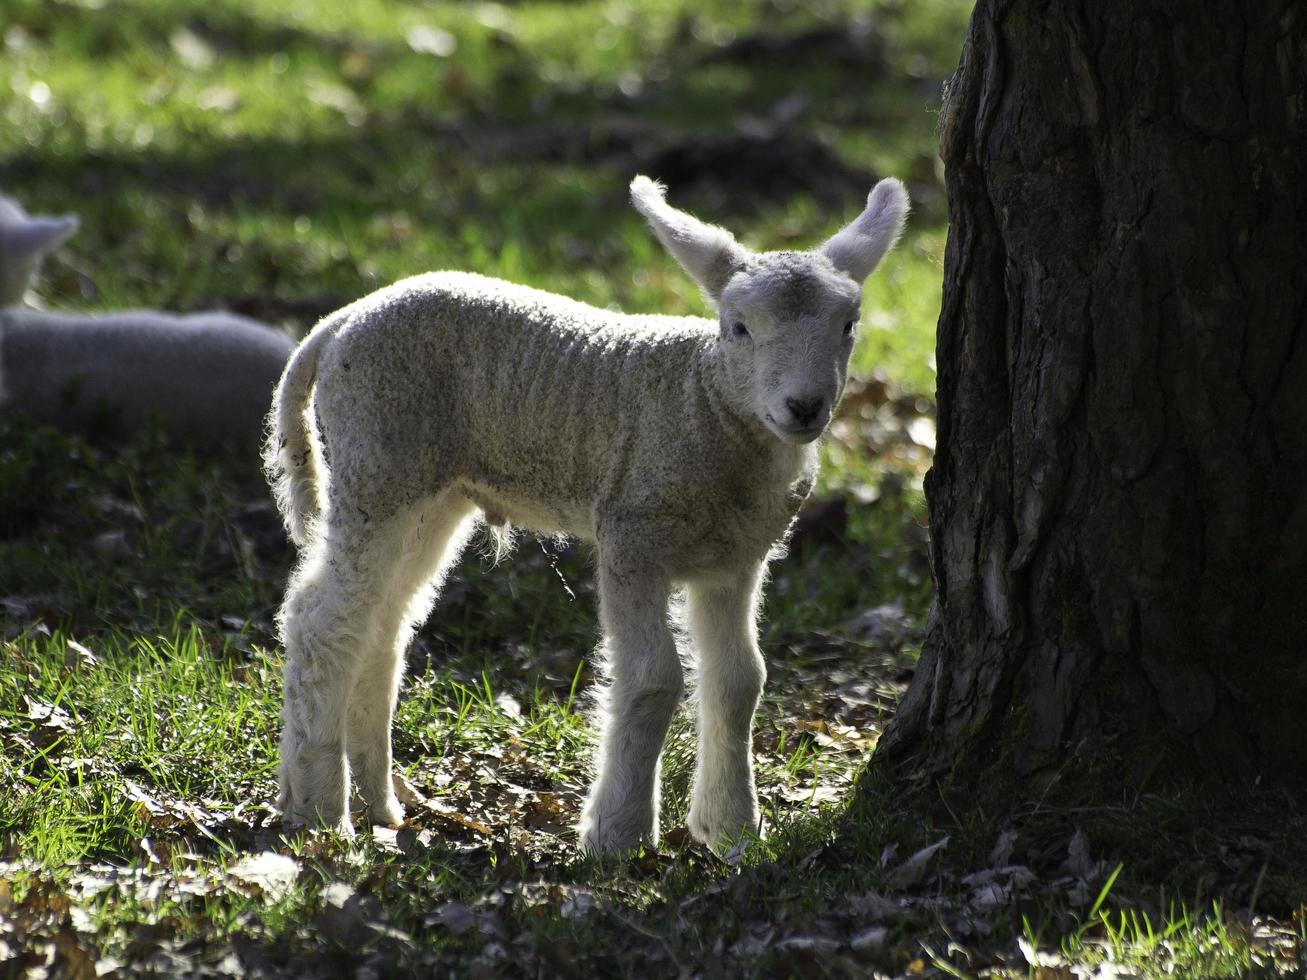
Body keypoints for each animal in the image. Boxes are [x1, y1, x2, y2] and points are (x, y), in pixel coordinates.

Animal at [265, 175, 909, 851]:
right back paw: (320, 809)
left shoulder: (735, 559)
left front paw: (731, 829)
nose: (804, 407)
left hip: (430, 493)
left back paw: (381, 801)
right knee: (321, 620)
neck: (705, 401)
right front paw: (618, 835)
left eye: (849, 325)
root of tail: (342, 321)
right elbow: (653, 678)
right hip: (378, 460)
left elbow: (739, 681)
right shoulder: (633, 535)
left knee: (382, 623)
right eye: (738, 327)